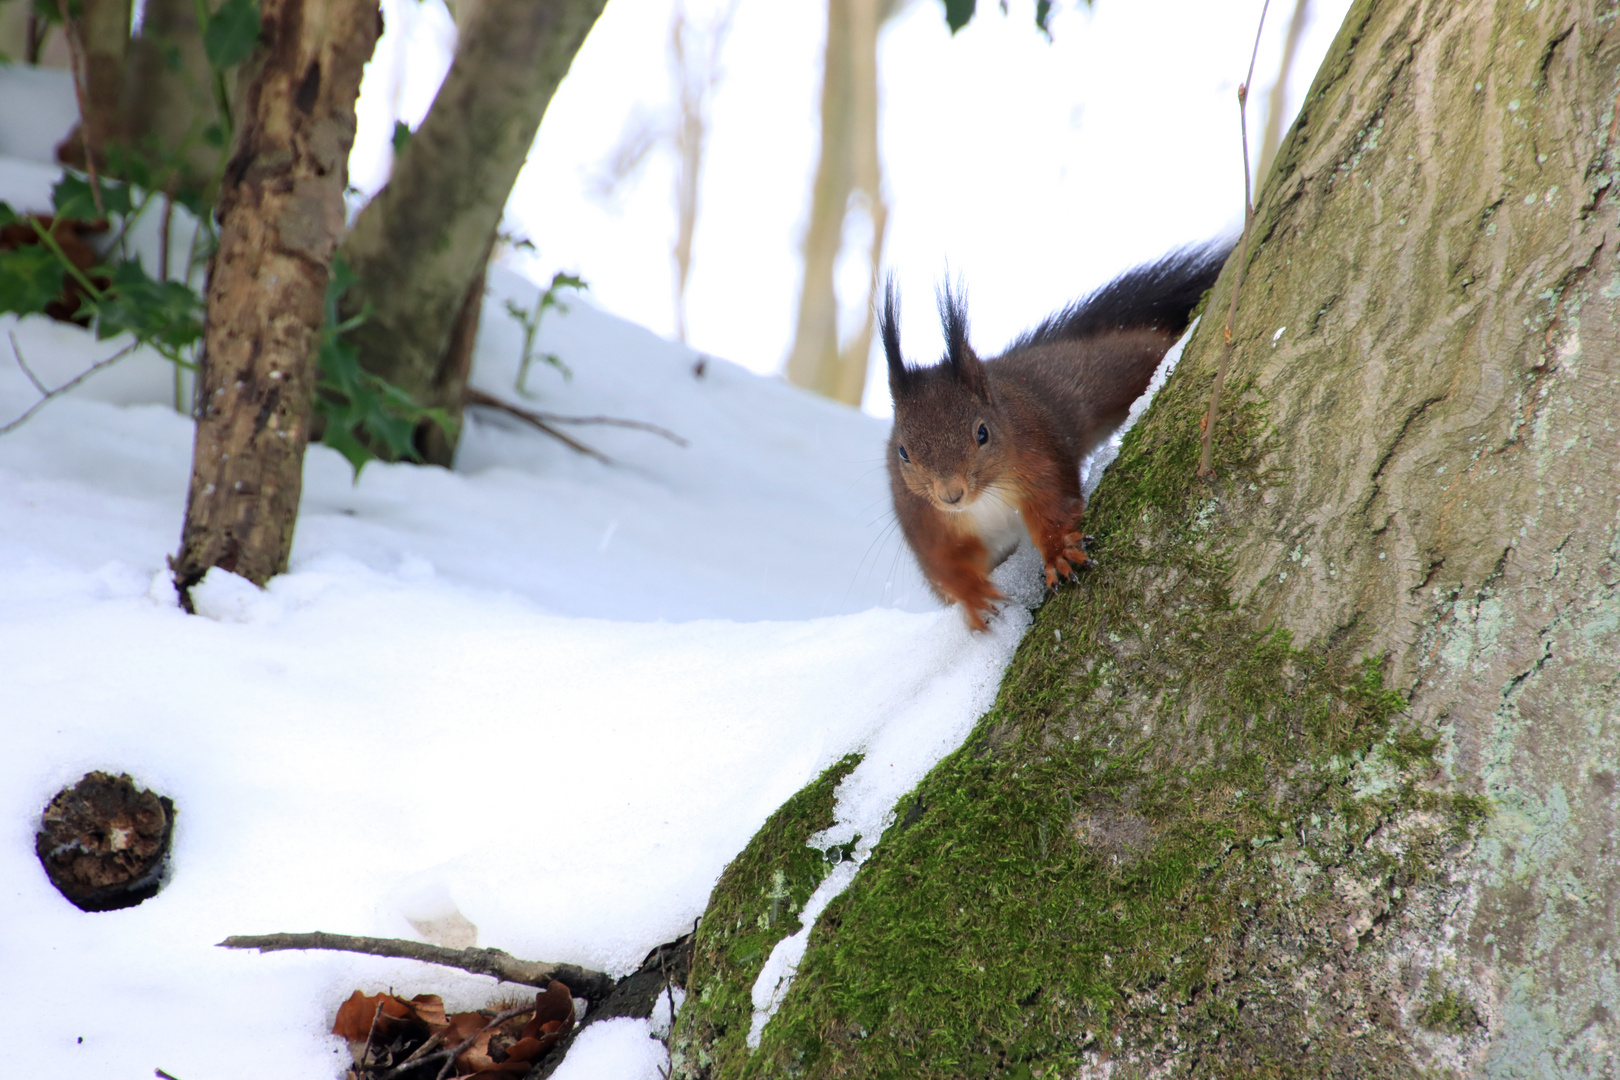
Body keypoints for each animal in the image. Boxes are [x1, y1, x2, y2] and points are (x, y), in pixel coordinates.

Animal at [881, 244, 1231, 628]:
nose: (951, 494)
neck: (984, 498)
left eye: (982, 433)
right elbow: (946, 565)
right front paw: (975, 597)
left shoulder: (1037, 454)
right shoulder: (923, 517)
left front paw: (1058, 552)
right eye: (903, 453)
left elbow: (1053, 505)